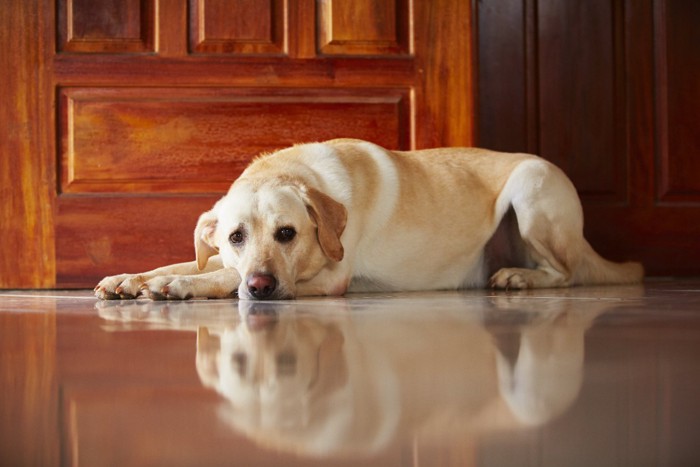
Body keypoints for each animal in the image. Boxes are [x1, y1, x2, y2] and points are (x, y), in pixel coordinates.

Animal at [94, 138, 644, 300]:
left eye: (287, 234)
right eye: (234, 236)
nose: (262, 286)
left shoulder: (330, 276)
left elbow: (221, 277)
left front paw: (178, 288)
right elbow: (186, 263)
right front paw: (129, 278)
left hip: (533, 187)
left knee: (566, 273)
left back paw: (520, 277)